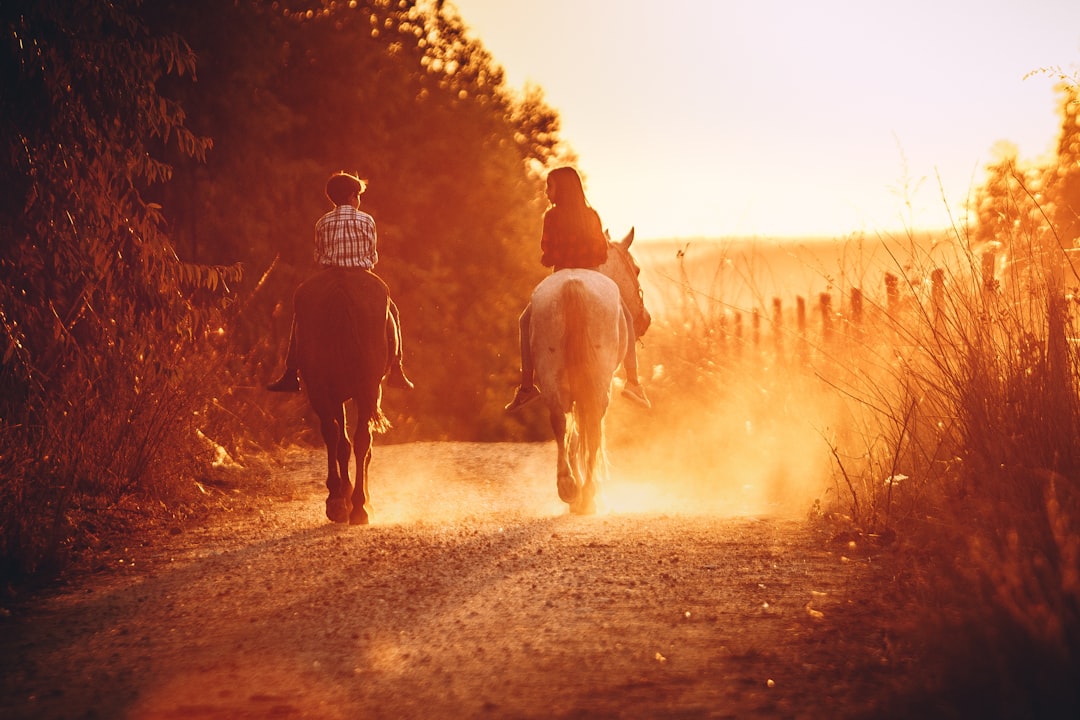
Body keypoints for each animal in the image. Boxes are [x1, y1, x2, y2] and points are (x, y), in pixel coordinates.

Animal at [295, 268, 393, 524]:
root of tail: (341, 289)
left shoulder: (339, 396)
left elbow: (342, 444)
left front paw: (345, 496)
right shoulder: (368, 392)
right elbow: (358, 446)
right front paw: (359, 499)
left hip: (320, 390)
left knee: (333, 435)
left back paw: (338, 503)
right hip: (366, 390)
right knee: (360, 442)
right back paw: (358, 507)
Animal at [527, 227, 643, 515]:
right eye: (636, 269)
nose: (645, 319)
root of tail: (572, 286)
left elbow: (574, 434)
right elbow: (587, 434)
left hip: (552, 378)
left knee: (560, 422)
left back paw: (568, 486)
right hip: (598, 384)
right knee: (592, 426)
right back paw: (589, 493)